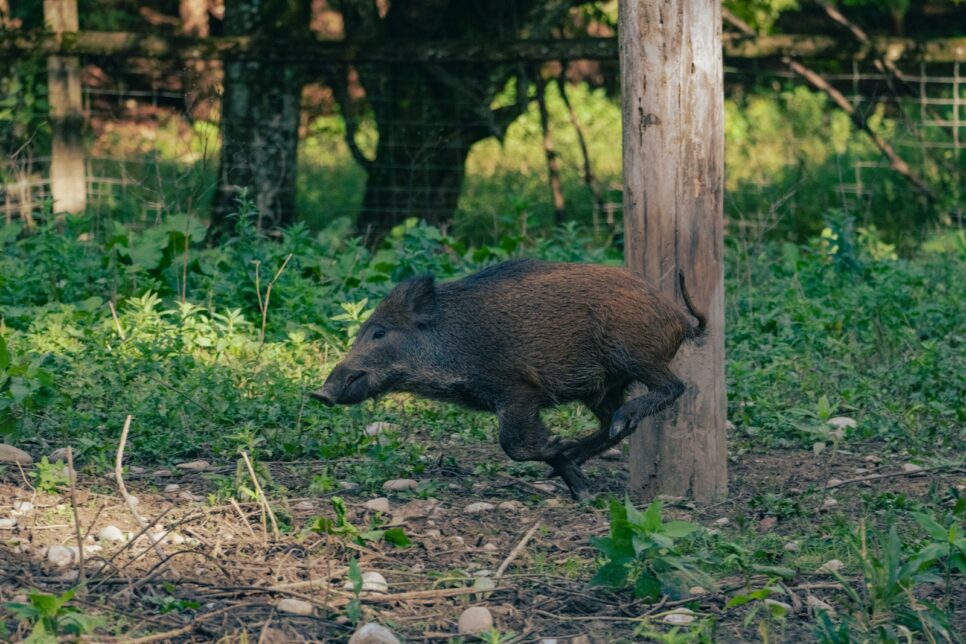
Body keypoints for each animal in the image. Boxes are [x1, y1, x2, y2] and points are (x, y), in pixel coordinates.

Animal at [313, 258, 706, 500]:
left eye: (379, 333)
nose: (321, 393)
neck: (452, 343)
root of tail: (679, 319)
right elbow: (527, 446)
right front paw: (578, 485)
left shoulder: (518, 391)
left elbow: (515, 446)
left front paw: (564, 456)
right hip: (601, 388)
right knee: (615, 426)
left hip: (635, 357)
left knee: (672, 388)